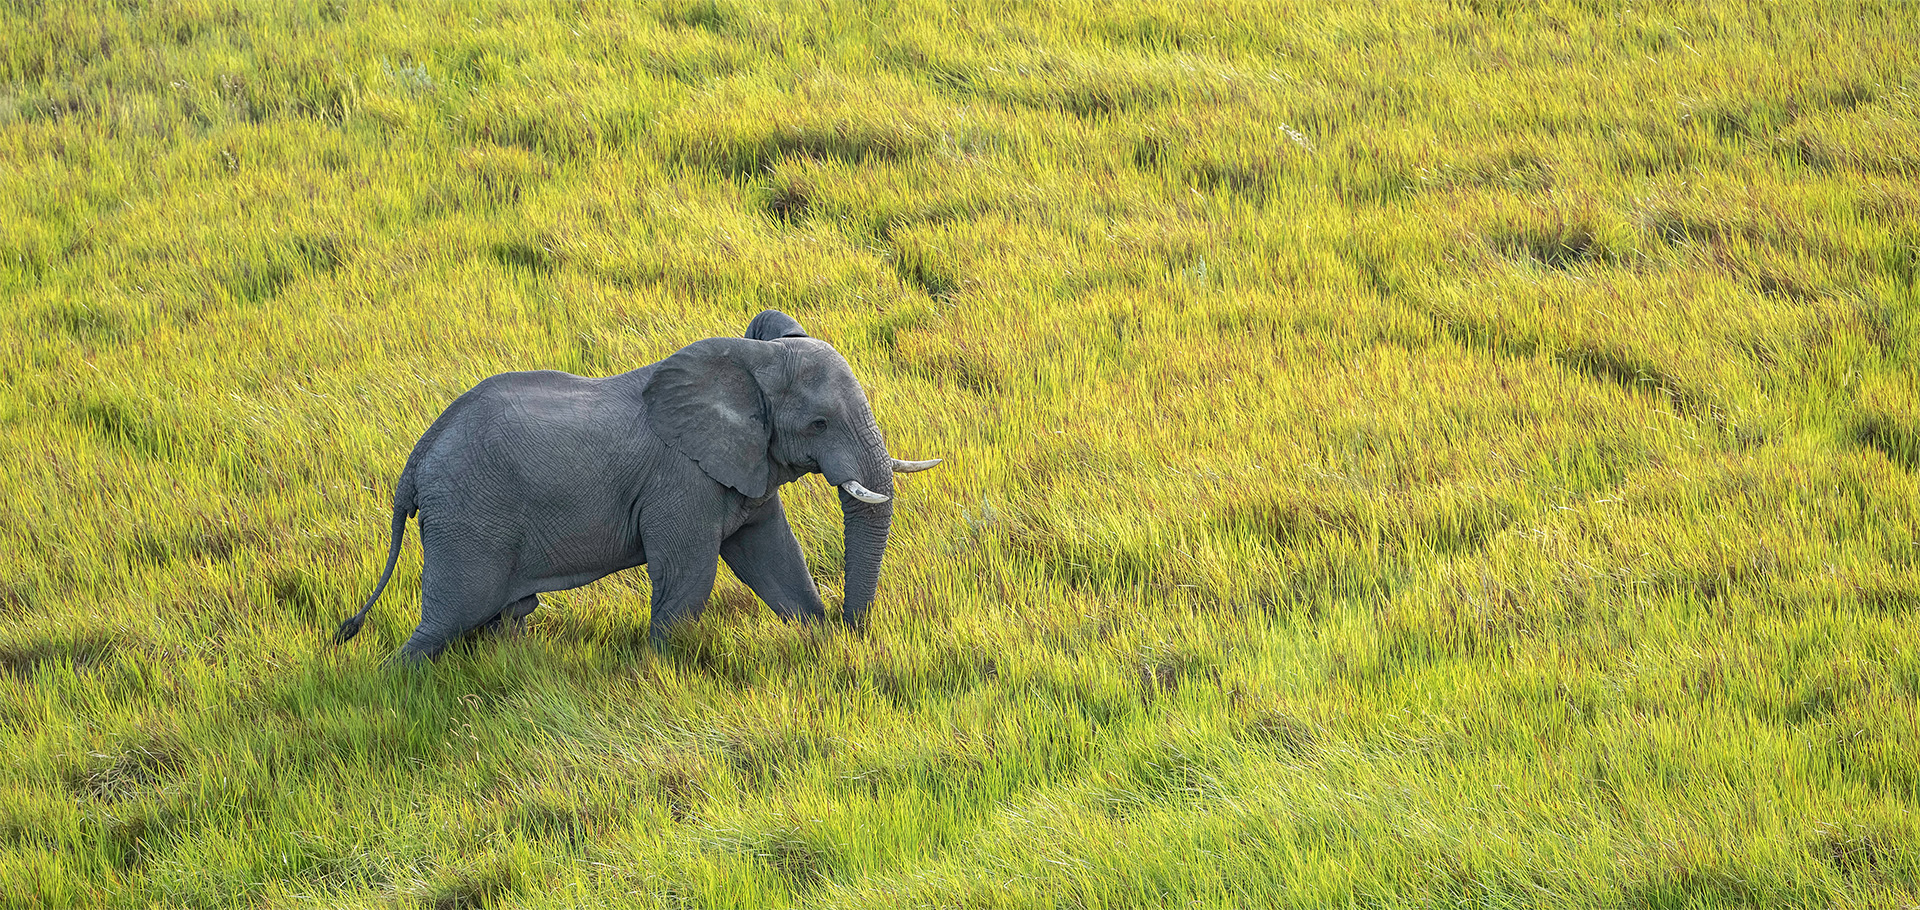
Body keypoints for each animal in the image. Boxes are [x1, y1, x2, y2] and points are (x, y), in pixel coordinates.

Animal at [334, 309, 940, 660]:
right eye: (819, 424)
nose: (852, 628)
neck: (751, 359)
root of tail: (416, 461)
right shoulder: (680, 481)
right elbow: (690, 579)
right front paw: (660, 669)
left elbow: (774, 559)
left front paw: (821, 637)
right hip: (468, 516)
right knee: (452, 617)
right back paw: (399, 683)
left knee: (489, 619)